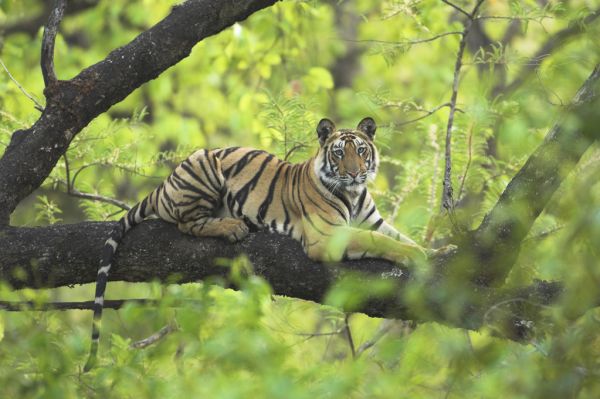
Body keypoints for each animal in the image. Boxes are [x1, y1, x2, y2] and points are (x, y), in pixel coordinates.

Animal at [83, 116, 432, 372]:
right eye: (338, 153)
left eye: (361, 151)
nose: (356, 173)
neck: (355, 193)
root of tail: (165, 182)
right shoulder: (329, 236)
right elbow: (380, 240)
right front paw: (416, 255)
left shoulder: (372, 220)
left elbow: (396, 236)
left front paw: (432, 250)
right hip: (204, 169)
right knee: (187, 222)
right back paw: (234, 227)